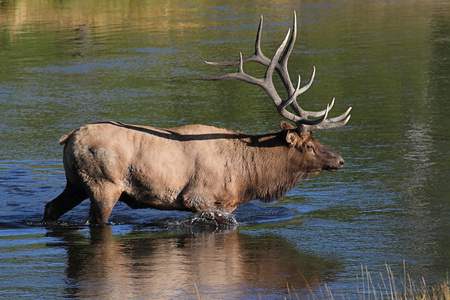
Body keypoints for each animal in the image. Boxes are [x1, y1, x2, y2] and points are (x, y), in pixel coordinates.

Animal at [42, 13, 352, 225]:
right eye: (309, 145)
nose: (340, 160)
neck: (248, 177)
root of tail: (68, 138)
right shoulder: (198, 198)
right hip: (103, 185)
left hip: (75, 183)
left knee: (50, 207)